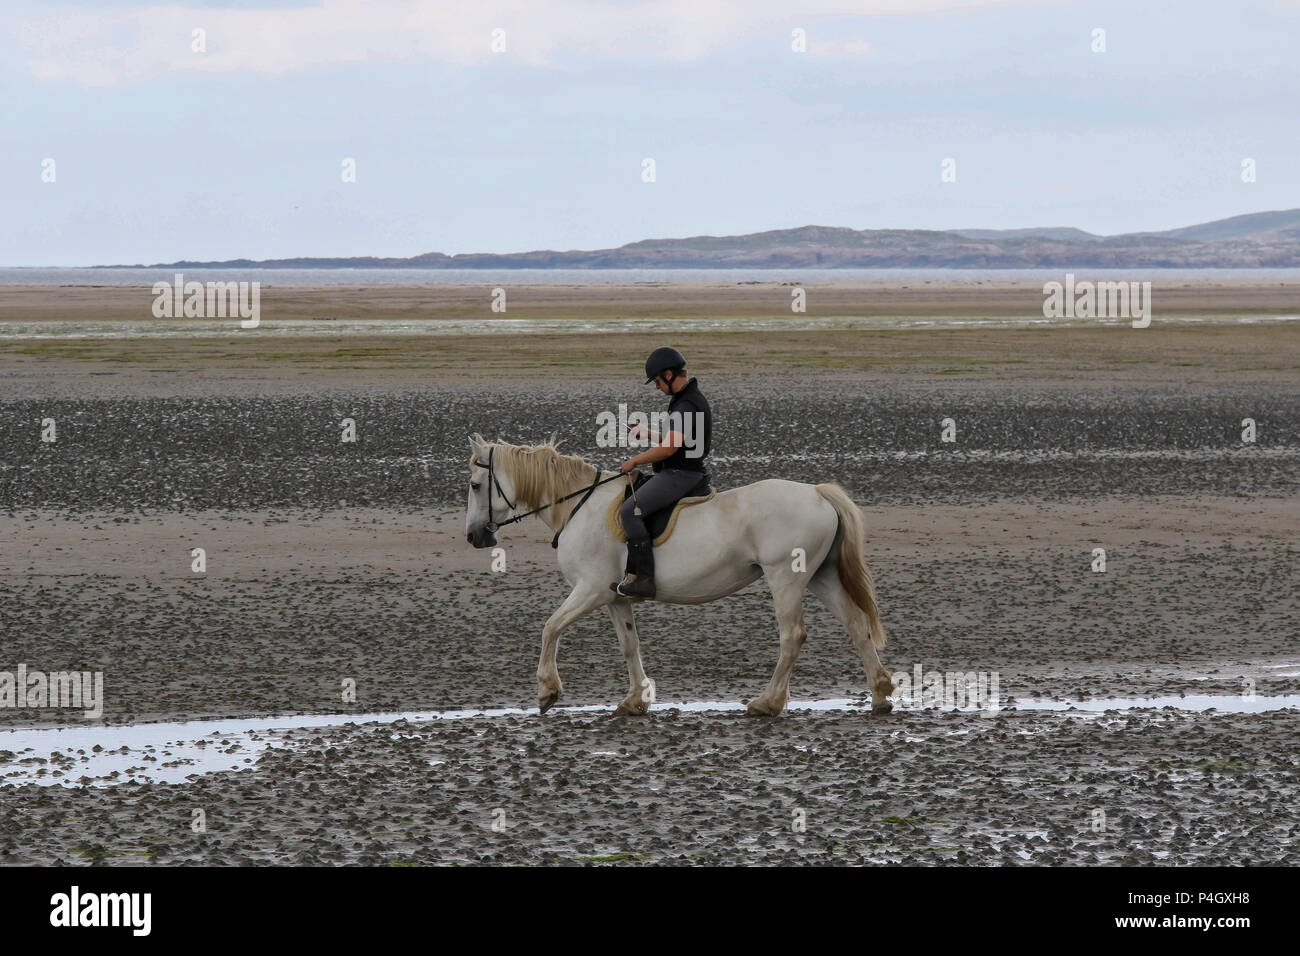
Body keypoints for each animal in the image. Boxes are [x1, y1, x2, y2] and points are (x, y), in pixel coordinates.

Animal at [465, 434, 894, 717]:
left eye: (475, 485)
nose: (474, 537)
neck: (578, 507)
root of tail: (818, 493)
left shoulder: (590, 591)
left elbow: (550, 627)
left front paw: (547, 691)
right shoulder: (615, 597)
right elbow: (629, 645)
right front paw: (635, 700)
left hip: (785, 579)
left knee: (793, 636)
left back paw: (767, 702)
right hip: (820, 576)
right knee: (856, 624)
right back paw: (880, 693)